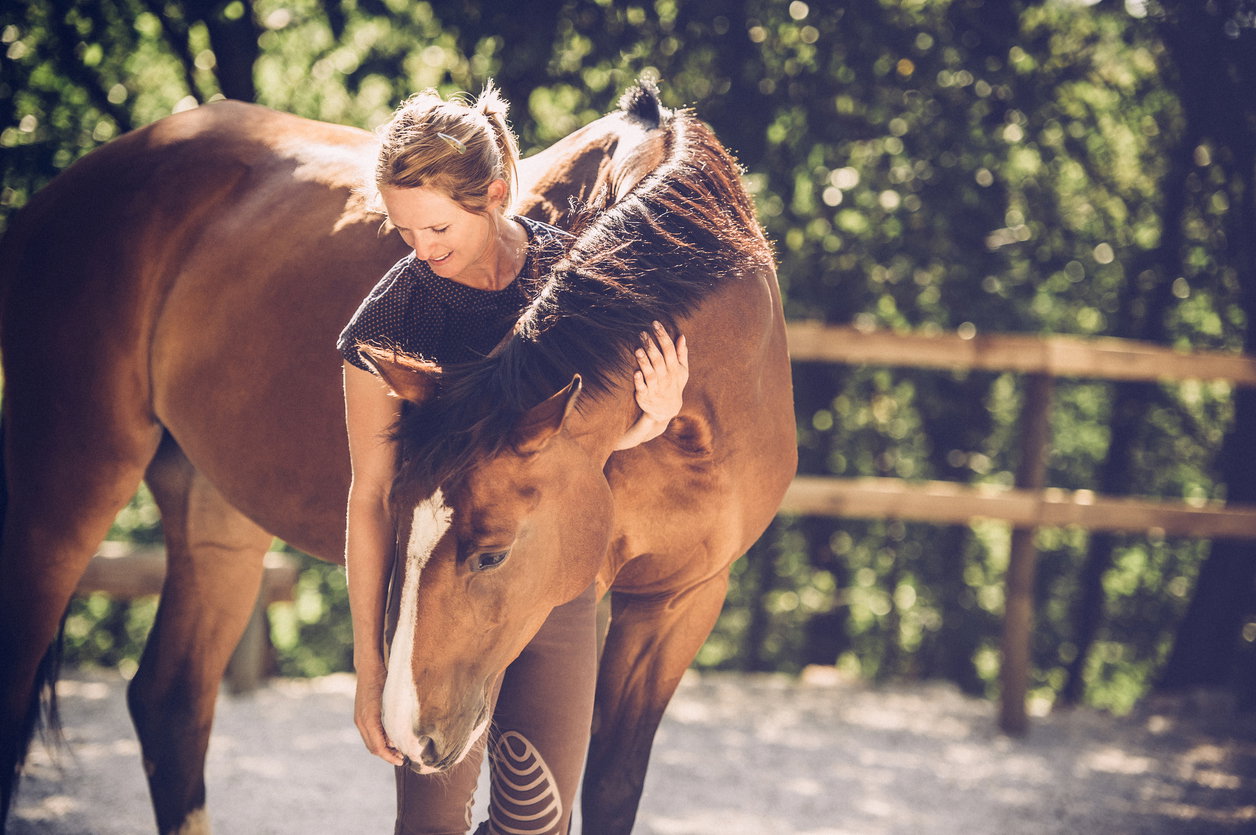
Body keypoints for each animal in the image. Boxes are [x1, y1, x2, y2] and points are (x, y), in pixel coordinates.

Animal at [0, 82, 796, 834]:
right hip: (67, 485)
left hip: (216, 520)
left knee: (169, 701)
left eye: (492, 554)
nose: (412, 734)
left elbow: (610, 789)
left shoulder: (681, 603)